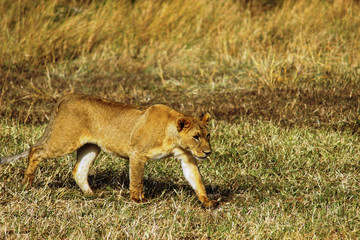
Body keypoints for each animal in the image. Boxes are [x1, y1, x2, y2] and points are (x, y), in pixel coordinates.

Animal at [0, 94, 217, 208]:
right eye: (196, 137)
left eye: (208, 136)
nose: (208, 153)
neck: (174, 138)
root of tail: (66, 98)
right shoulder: (137, 154)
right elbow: (136, 180)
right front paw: (138, 200)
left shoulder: (187, 158)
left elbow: (196, 180)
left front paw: (208, 202)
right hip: (64, 140)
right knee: (35, 150)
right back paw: (27, 184)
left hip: (91, 147)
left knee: (79, 170)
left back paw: (91, 195)